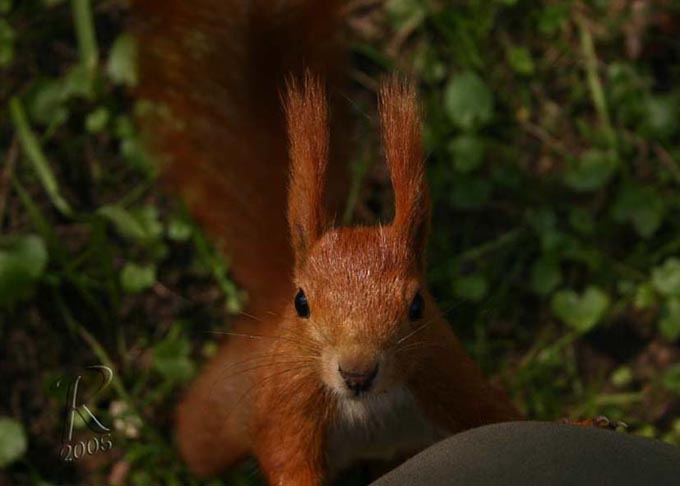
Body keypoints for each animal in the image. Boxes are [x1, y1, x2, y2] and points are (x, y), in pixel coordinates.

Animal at [133, 0, 524, 482]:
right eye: (303, 302)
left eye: (417, 305)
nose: (357, 373)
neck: (368, 408)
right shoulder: (289, 403)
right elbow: (287, 457)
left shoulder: (448, 378)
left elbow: (501, 421)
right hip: (217, 417)